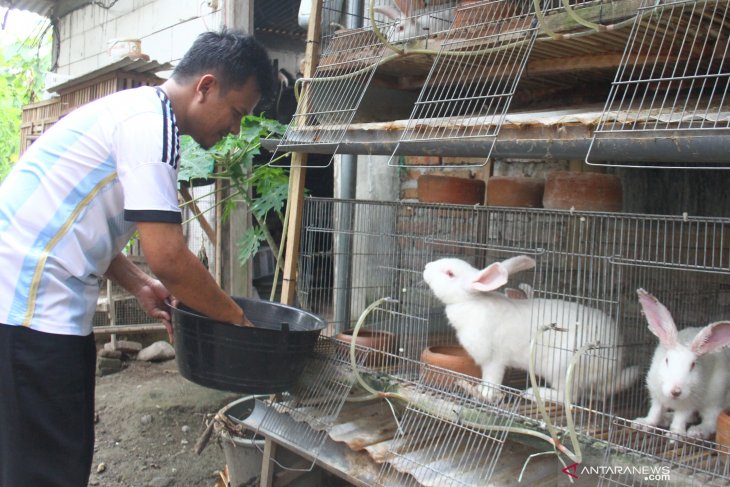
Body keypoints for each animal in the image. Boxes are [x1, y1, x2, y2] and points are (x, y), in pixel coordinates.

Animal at [420, 255, 636, 404]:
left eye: (449, 273)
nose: (426, 266)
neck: (471, 301)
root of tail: (614, 366)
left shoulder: (494, 359)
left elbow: (491, 379)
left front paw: (483, 393)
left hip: (562, 367)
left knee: (570, 398)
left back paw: (534, 393)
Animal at [632, 288, 728, 440]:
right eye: (667, 360)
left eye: (693, 365)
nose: (676, 391)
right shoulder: (656, 395)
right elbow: (655, 411)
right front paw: (643, 424)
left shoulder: (690, 401)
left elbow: (681, 417)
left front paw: (676, 434)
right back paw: (665, 418)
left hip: (716, 397)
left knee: (710, 421)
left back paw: (697, 431)